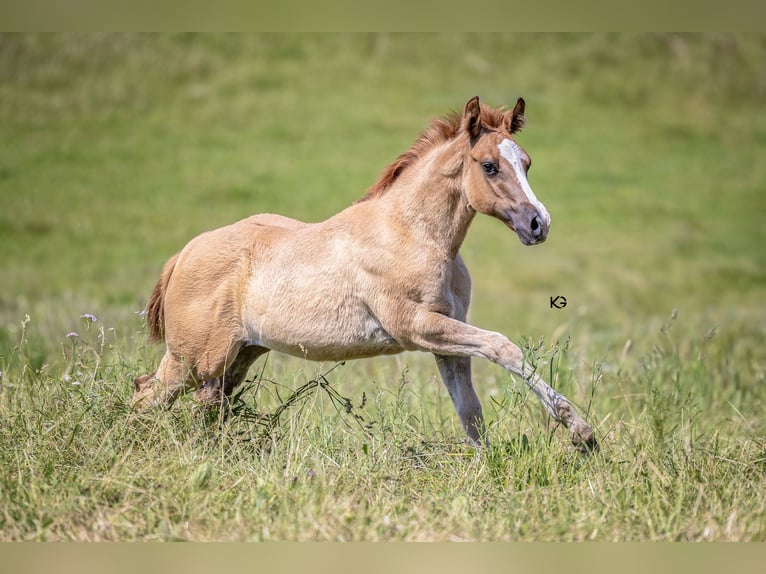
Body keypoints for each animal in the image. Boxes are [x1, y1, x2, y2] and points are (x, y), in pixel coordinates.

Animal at [134, 95, 600, 454]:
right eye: (489, 166)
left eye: (527, 163)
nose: (538, 224)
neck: (414, 233)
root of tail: (184, 254)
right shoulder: (416, 327)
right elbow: (504, 348)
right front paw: (581, 432)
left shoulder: (447, 336)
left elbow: (470, 411)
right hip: (193, 360)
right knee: (145, 395)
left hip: (235, 360)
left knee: (202, 409)